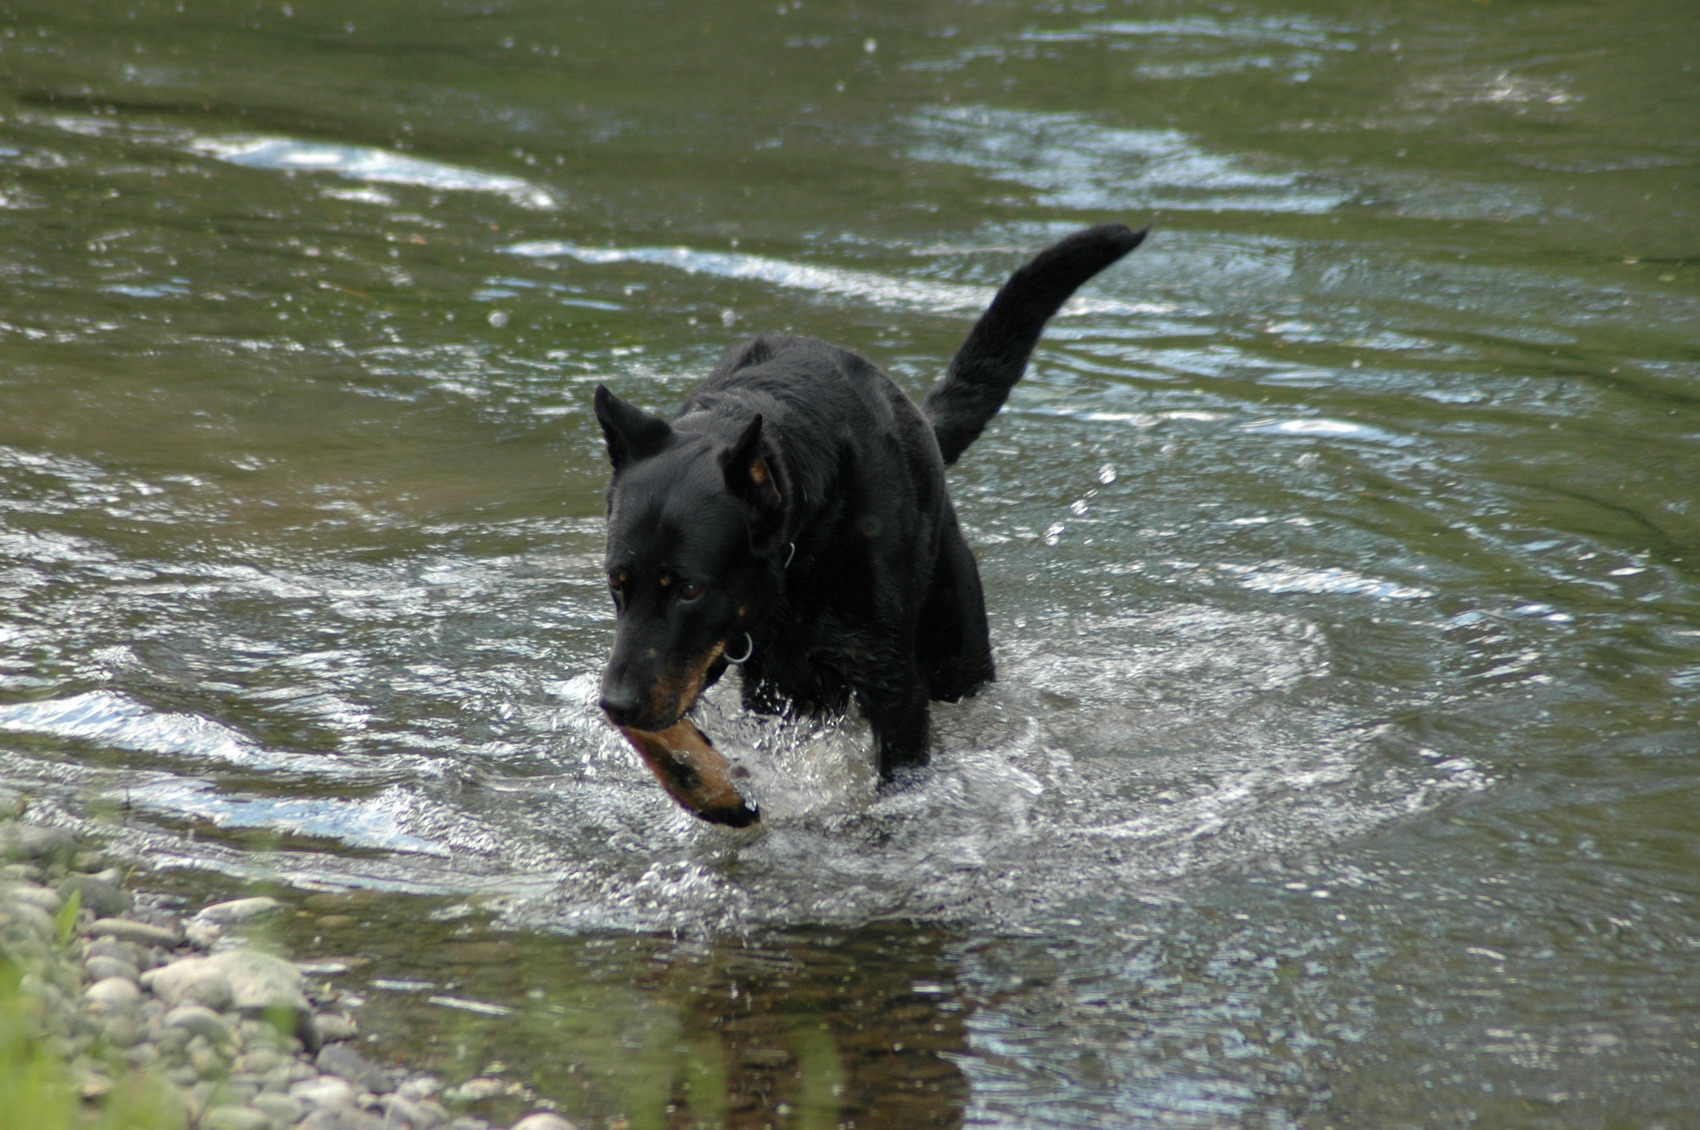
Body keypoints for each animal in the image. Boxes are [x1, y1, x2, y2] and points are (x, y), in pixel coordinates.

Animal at [595, 222, 1142, 812]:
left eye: (691, 589)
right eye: (616, 582)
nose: (616, 705)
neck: (801, 556)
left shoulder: (892, 680)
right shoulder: (760, 683)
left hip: (954, 648)